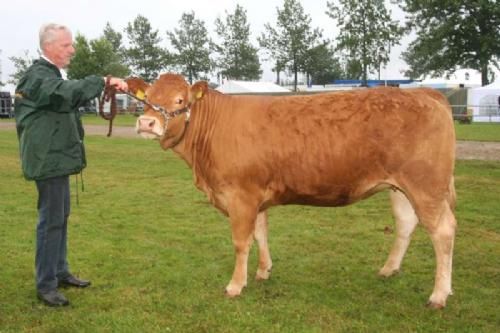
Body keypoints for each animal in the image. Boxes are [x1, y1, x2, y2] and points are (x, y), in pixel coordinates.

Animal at [128, 74, 458, 308]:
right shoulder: (256, 197)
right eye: (148, 98)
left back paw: (439, 295)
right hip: (399, 188)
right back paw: (389, 269)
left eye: (179, 99)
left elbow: (241, 242)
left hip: (426, 185)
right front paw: (263, 271)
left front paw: (235, 285)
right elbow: (260, 234)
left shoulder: (240, 196)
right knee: (406, 223)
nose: (146, 122)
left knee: (443, 231)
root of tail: (424, 93)